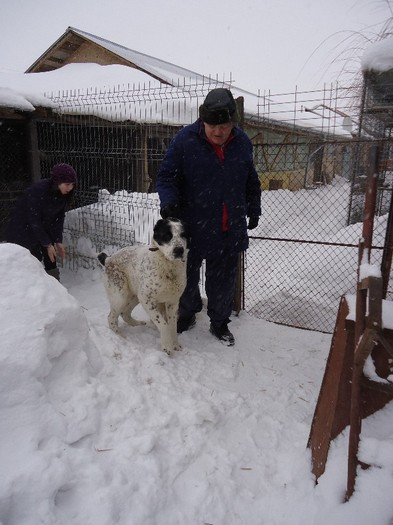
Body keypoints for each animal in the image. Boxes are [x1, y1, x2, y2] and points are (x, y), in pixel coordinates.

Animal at [99, 217, 189, 356]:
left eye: (183, 235)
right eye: (167, 236)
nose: (179, 250)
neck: (168, 267)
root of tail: (108, 259)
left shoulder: (172, 302)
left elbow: (172, 325)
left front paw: (175, 344)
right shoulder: (147, 300)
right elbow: (164, 324)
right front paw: (167, 346)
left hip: (134, 296)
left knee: (125, 313)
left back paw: (136, 324)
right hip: (121, 296)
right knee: (111, 318)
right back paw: (120, 336)